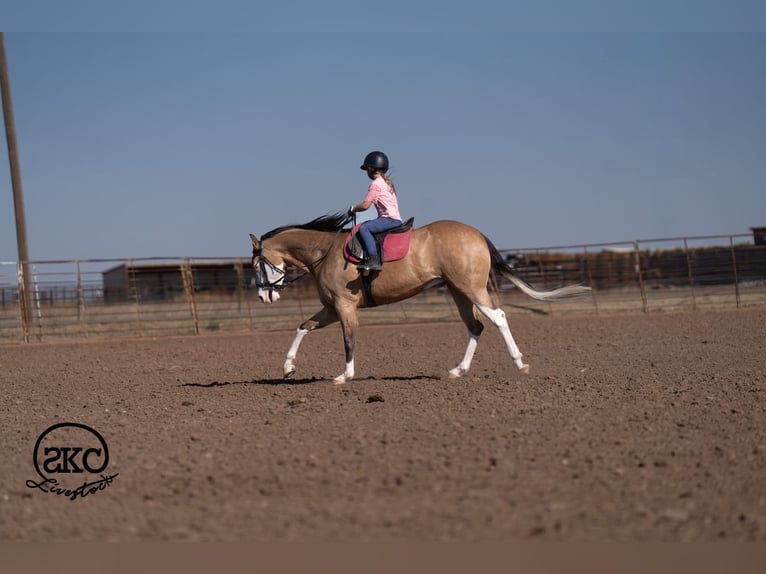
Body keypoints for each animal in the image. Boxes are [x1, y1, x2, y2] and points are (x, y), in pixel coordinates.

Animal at [249, 212, 589, 384]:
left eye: (256, 264)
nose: (265, 296)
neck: (325, 252)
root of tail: (476, 233)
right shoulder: (331, 308)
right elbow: (302, 327)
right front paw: (288, 368)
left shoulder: (345, 307)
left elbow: (348, 340)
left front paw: (345, 375)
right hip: (458, 292)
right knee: (475, 327)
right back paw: (457, 371)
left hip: (471, 288)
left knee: (498, 317)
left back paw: (520, 364)